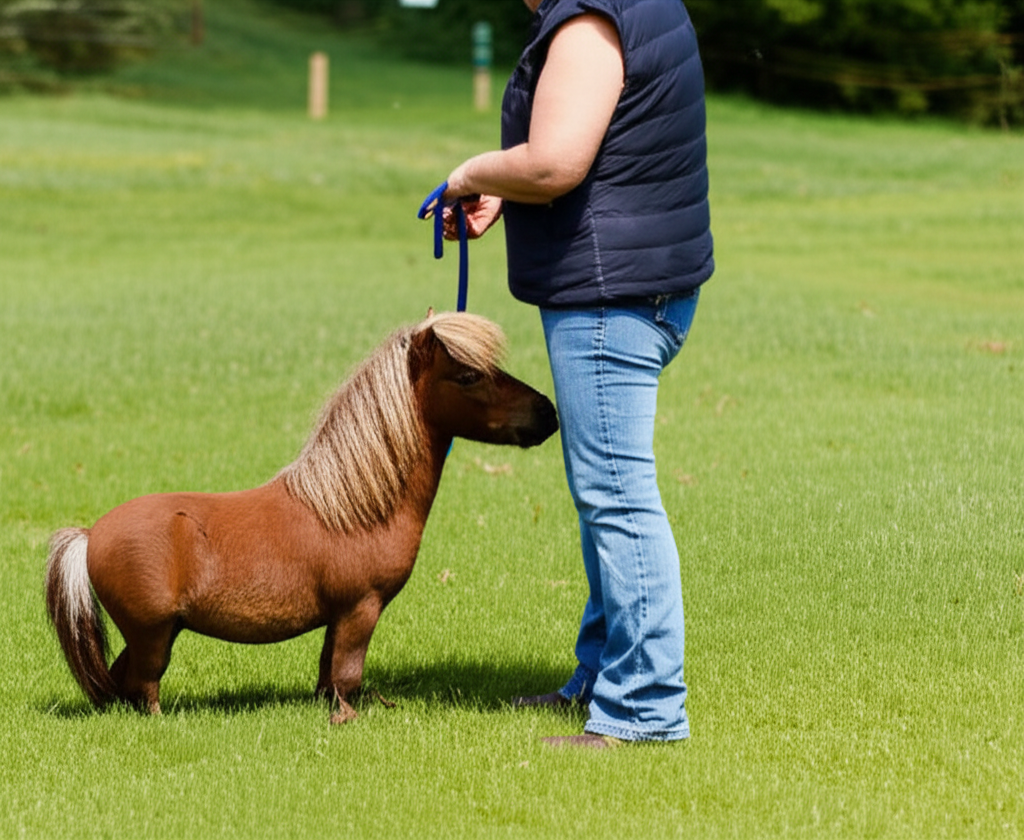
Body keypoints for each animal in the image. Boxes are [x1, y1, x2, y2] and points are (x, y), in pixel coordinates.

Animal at [45, 311, 558, 724]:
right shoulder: (360, 609)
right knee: (144, 685)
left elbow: (328, 674)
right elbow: (348, 673)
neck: (350, 509)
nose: (548, 413)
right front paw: (347, 719)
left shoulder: (338, 617)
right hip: (152, 633)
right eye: (469, 375)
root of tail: (91, 534)